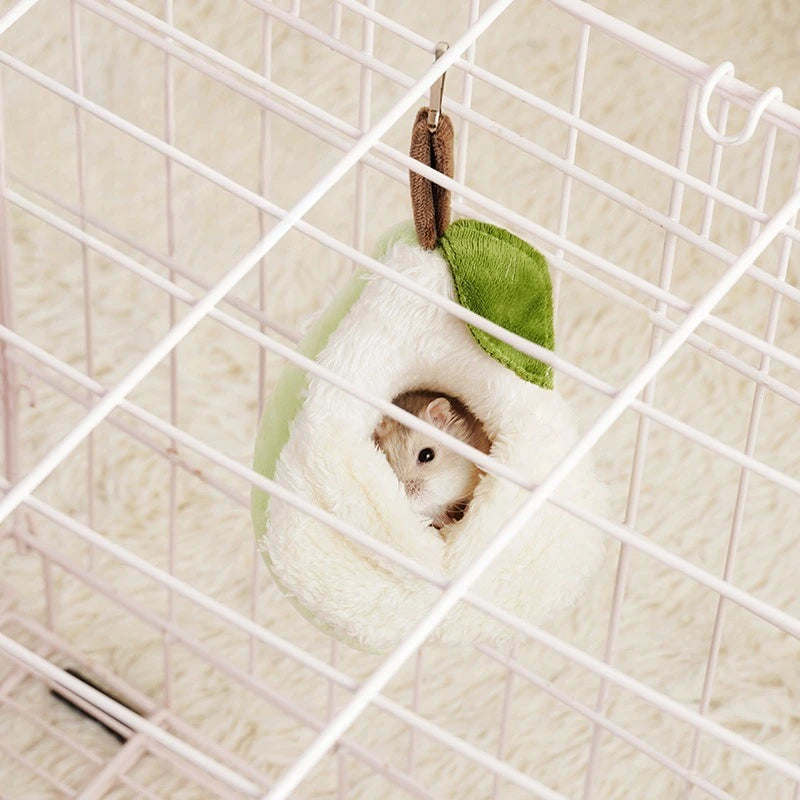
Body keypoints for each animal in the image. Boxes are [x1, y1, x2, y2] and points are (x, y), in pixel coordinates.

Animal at [372, 389, 492, 530]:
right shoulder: (430, 511)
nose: (406, 496)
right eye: (385, 458)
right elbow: (438, 518)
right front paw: (451, 524)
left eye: (426, 455)